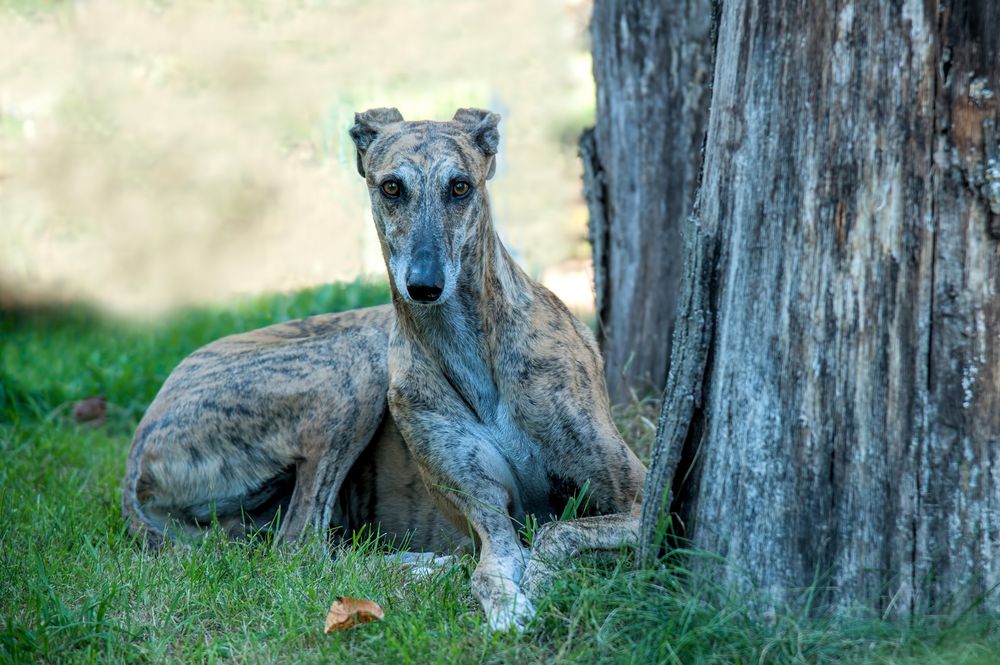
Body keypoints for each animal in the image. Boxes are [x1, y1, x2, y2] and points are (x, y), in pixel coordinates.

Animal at [121, 106, 648, 632]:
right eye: (391, 187)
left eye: (460, 186)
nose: (424, 286)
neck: (471, 350)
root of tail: (138, 446)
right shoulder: (487, 511)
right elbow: (496, 564)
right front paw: (509, 605)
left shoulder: (644, 498)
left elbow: (555, 533)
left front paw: (536, 583)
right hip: (356, 365)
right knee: (301, 545)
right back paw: (425, 565)